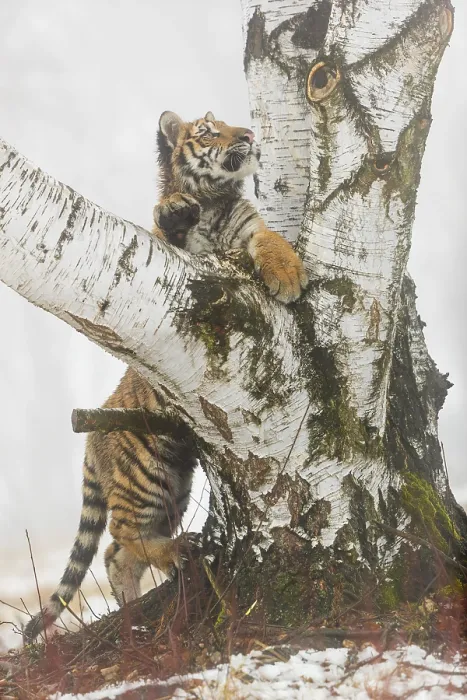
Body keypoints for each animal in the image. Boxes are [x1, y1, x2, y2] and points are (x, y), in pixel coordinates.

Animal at [23, 111, 308, 643]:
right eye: (209, 130)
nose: (249, 135)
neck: (214, 201)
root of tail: (91, 436)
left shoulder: (248, 229)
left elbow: (271, 239)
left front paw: (288, 272)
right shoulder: (168, 252)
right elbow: (161, 226)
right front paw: (173, 211)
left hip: (174, 483)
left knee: (118, 554)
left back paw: (136, 610)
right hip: (148, 475)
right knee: (120, 535)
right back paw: (175, 555)